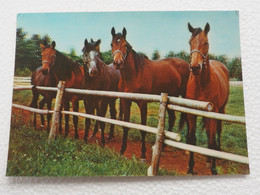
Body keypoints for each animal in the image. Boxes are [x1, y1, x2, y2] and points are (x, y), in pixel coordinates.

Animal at [110, 26, 190, 159]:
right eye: (111, 44)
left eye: (125, 45)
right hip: (171, 97)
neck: (134, 74)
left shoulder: (143, 104)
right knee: (172, 118)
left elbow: (143, 128)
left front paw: (143, 154)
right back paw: (163, 147)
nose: (118, 63)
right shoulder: (125, 101)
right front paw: (122, 150)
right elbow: (126, 125)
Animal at [187, 23, 230, 175]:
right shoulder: (192, 113)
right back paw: (207, 159)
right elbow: (192, 139)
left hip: (221, 110)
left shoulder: (213, 113)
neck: (202, 84)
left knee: (217, 132)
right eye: (190, 42)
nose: (195, 67)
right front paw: (190, 168)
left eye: (206, 43)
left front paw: (214, 169)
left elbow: (211, 141)